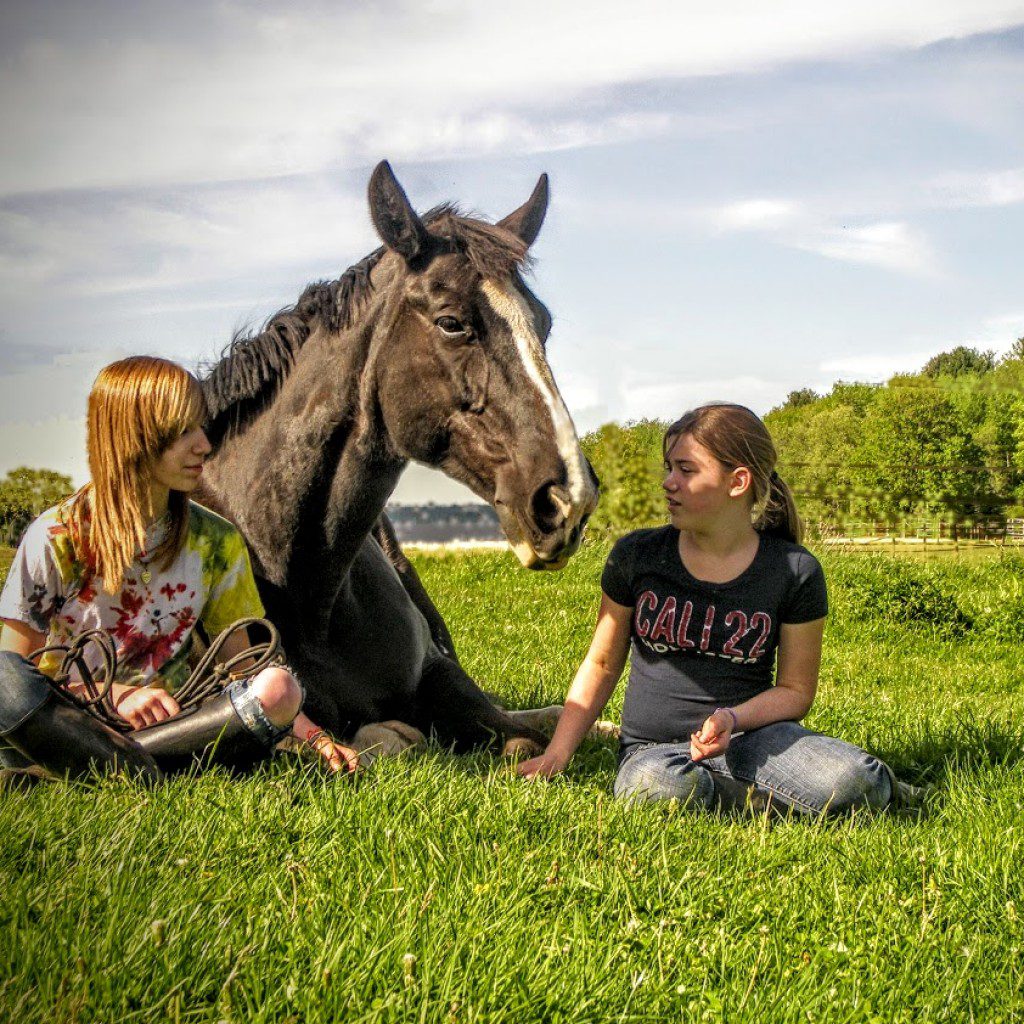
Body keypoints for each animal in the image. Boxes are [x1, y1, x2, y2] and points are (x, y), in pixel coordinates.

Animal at [197, 159, 598, 753]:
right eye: (452, 322)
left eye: (543, 323)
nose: (569, 499)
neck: (303, 587)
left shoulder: (437, 670)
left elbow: (515, 734)